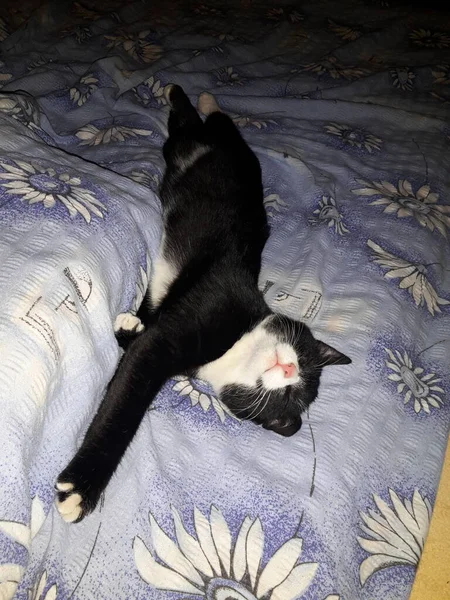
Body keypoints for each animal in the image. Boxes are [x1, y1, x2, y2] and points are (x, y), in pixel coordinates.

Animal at [55, 86, 352, 524]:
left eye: (288, 399)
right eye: (305, 360)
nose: (288, 369)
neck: (237, 345)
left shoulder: (165, 334)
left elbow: (135, 347)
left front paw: (129, 325)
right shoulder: (197, 319)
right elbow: (124, 407)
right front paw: (82, 488)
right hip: (218, 147)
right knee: (202, 123)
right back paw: (190, 95)